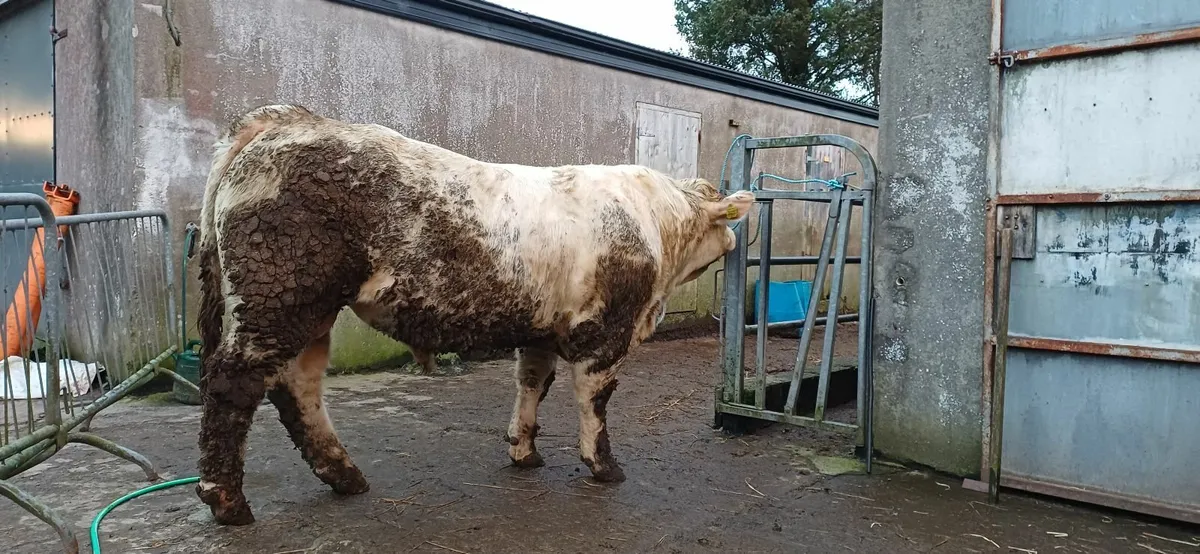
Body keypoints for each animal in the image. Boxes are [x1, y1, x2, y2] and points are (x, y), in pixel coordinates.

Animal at [194, 104, 755, 525]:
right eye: (724, 221)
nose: (735, 241)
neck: (655, 225)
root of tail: (288, 122)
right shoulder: (605, 332)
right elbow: (595, 400)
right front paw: (602, 464)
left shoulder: (541, 329)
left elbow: (532, 383)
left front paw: (524, 451)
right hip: (278, 296)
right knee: (234, 383)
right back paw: (227, 500)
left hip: (306, 312)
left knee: (298, 387)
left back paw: (344, 476)